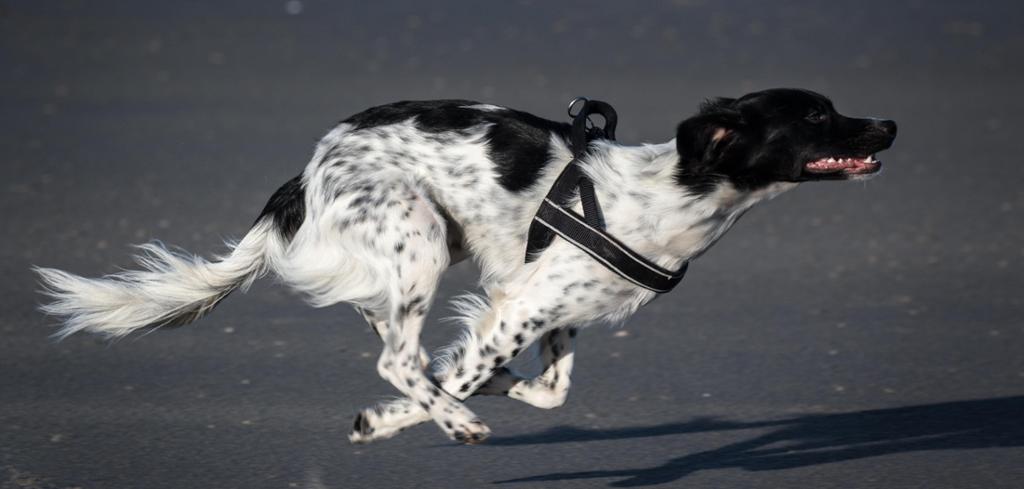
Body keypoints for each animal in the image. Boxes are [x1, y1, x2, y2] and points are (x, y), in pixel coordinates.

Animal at [32, 86, 897, 443]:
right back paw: (458, 421)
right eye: (816, 116)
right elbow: (458, 373)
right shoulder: (522, 306)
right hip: (415, 235)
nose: (890, 124)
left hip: (427, 250)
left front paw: (463, 392)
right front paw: (417, 414)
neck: (668, 193)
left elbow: (543, 387)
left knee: (401, 346)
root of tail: (305, 170)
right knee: (394, 356)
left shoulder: (545, 305)